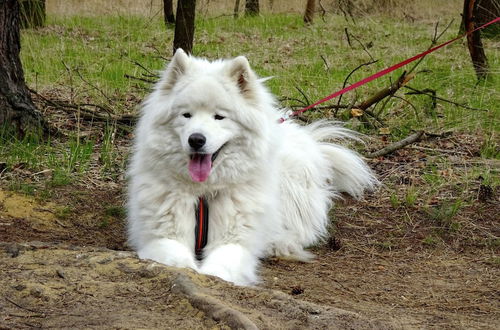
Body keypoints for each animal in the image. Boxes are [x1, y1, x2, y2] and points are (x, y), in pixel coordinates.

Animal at [127, 49, 376, 286]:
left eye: (219, 117)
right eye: (186, 114)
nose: (196, 139)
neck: (205, 192)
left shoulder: (235, 239)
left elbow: (220, 266)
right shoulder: (162, 235)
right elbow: (177, 260)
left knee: (302, 229)